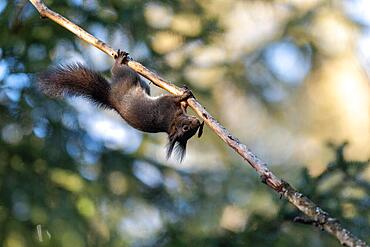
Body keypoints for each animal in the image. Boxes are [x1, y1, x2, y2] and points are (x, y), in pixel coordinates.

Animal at [38, 50, 202, 162]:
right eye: (185, 128)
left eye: (191, 133)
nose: (197, 122)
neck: (171, 121)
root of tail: (110, 96)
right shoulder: (165, 104)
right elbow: (174, 99)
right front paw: (185, 96)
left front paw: (185, 99)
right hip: (127, 77)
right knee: (119, 70)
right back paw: (120, 60)